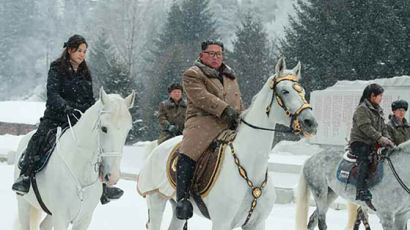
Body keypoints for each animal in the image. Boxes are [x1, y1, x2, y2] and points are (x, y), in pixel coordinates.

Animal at [12, 88, 134, 230]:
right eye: (104, 128)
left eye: (128, 130)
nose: (112, 176)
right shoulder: (61, 218)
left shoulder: (84, 219)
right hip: (23, 204)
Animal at [138, 56, 320, 229]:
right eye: (285, 91)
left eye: (303, 91)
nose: (311, 122)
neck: (251, 168)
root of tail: (157, 149)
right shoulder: (222, 223)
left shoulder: (257, 224)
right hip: (156, 200)